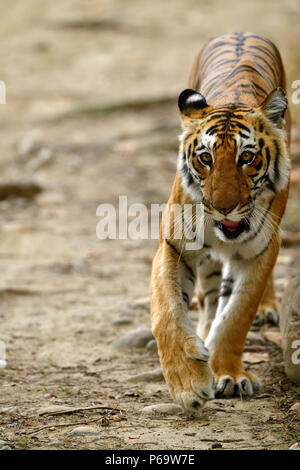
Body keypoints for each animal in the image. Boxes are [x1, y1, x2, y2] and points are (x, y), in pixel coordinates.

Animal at [150, 33, 290, 414]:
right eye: (205, 158)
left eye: (247, 157)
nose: (223, 208)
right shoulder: (173, 247)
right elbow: (166, 313)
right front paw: (189, 382)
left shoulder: (261, 251)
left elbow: (237, 316)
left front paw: (227, 374)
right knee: (211, 295)